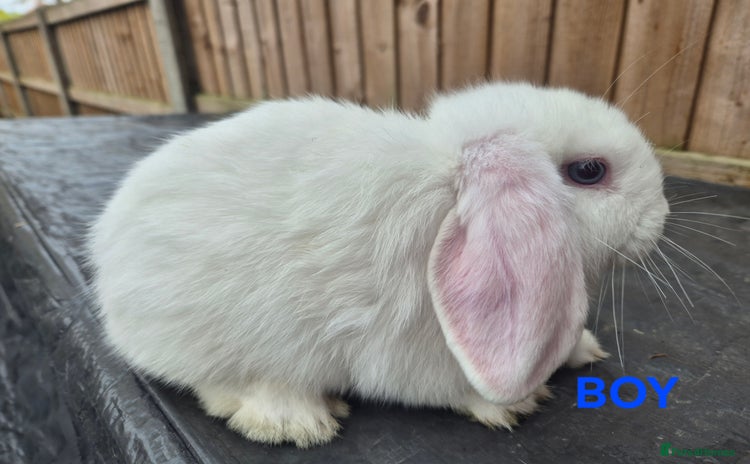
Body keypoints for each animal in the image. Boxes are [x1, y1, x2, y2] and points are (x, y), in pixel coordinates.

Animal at [88, 82, 668, 447]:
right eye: (589, 171)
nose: (660, 215)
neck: (448, 191)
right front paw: (513, 406)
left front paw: (582, 350)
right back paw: (296, 421)